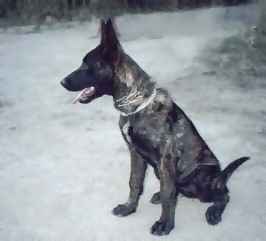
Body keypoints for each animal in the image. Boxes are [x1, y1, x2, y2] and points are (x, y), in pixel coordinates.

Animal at [60, 18, 249, 235]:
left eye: (86, 65)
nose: (62, 82)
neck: (136, 107)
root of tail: (220, 176)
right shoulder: (135, 153)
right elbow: (135, 182)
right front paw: (129, 208)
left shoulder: (166, 157)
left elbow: (168, 194)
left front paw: (165, 224)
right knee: (177, 188)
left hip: (200, 177)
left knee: (223, 195)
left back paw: (214, 211)